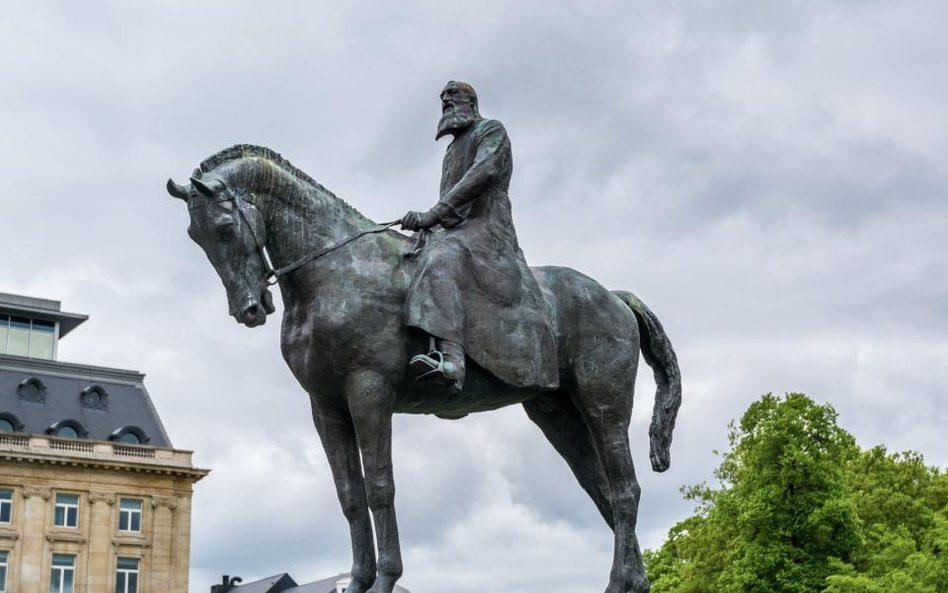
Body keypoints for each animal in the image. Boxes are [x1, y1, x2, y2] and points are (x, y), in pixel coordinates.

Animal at [165, 143, 680, 592]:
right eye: (195, 236)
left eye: (225, 227)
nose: (249, 309)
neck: (337, 270)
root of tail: (614, 296)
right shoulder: (326, 406)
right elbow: (350, 497)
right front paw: (358, 582)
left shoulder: (368, 392)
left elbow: (379, 488)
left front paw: (385, 580)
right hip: (559, 416)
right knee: (605, 493)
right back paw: (634, 581)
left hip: (603, 407)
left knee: (626, 491)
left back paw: (617, 582)